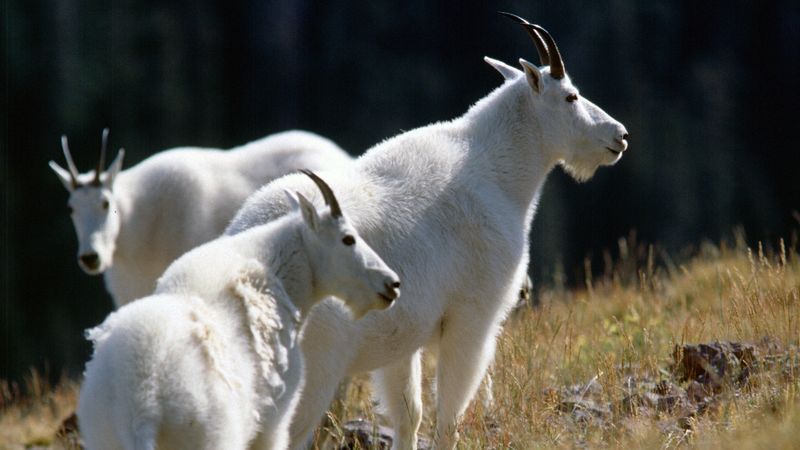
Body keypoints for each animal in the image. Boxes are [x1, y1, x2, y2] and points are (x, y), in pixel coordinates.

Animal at [77, 171, 400, 450]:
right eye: (348, 238)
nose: (392, 284)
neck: (281, 278)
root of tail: (142, 406)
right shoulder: (275, 420)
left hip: (105, 437)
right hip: (211, 438)